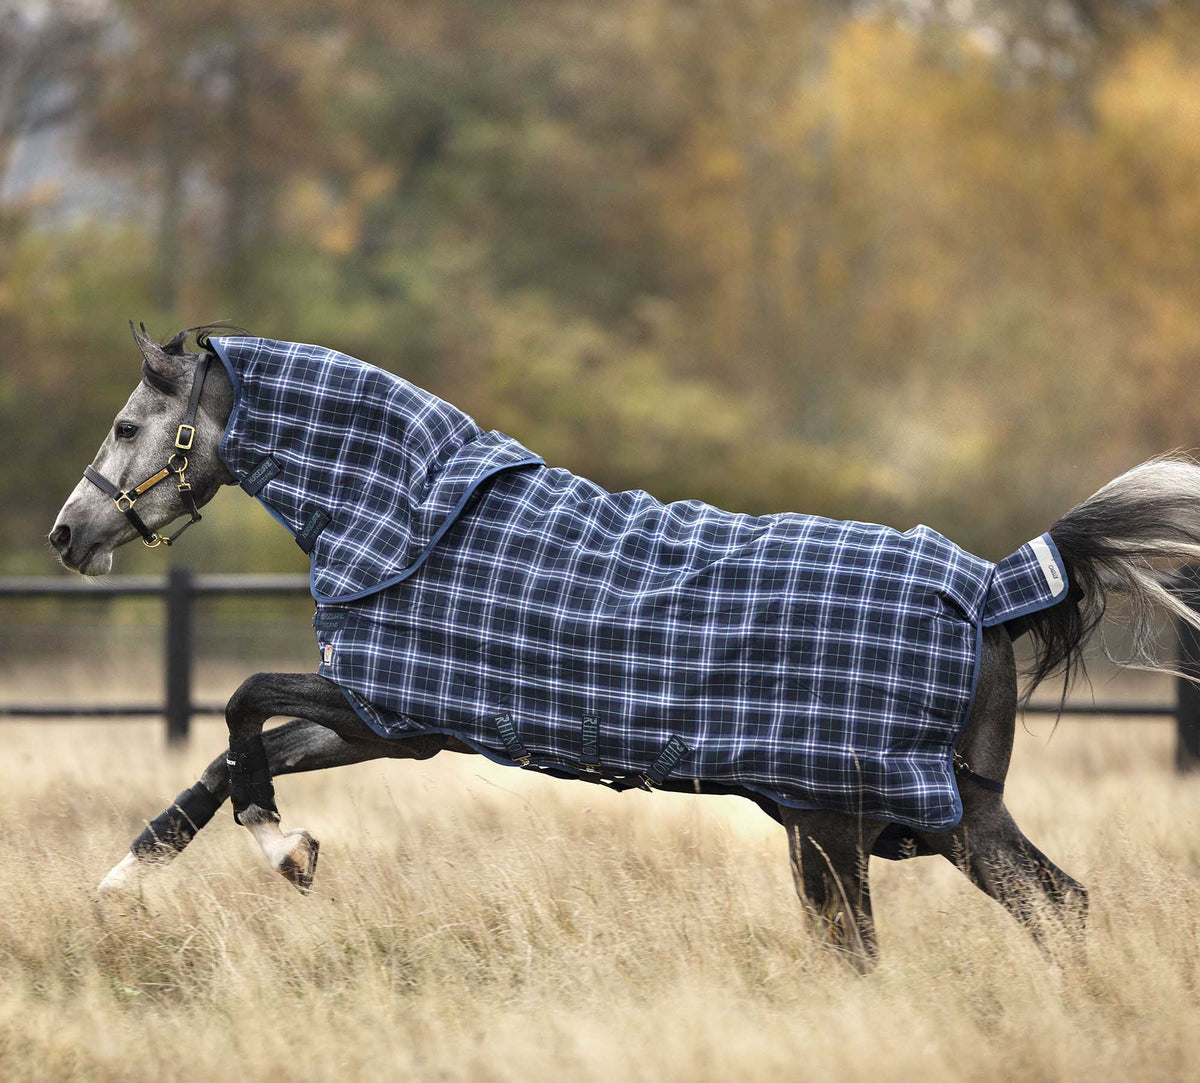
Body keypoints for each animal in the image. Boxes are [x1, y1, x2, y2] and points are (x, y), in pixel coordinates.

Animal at [48, 323, 1200, 970]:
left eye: (125, 427)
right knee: (1057, 907)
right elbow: (225, 756)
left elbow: (241, 701)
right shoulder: (392, 724)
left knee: (885, 947)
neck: (410, 516)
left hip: (843, 821)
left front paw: (284, 851)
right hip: (931, 817)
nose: (67, 535)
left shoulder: (390, 711)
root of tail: (998, 585)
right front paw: (125, 878)